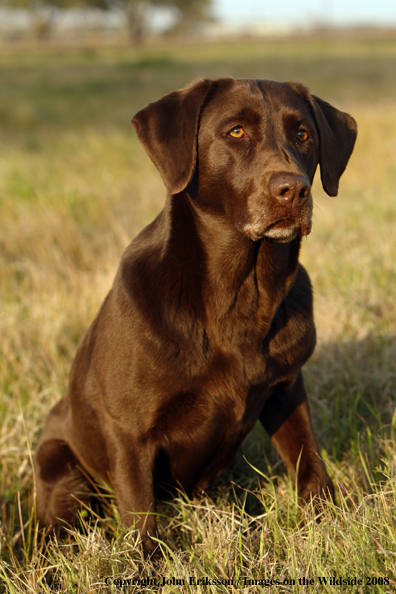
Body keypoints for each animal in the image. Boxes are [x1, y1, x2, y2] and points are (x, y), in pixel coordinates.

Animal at [35, 77, 356, 552]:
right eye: (236, 132)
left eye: (303, 135)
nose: (294, 190)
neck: (242, 293)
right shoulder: (130, 433)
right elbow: (140, 515)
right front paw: (146, 563)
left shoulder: (286, 389)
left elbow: (309, 461)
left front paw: (329, 524)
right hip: (61, 469)